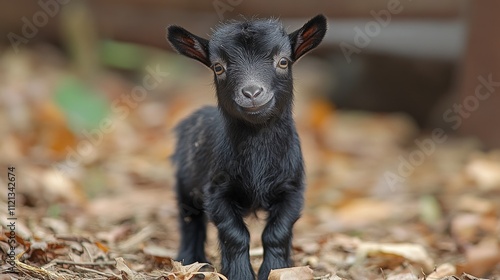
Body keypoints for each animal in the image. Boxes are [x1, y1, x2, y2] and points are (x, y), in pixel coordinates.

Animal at [166, 15, 326, 280]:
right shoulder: (216, 191)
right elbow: (235, 235)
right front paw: (240, 274)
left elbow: (276, 233)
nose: (252, 92)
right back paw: (191, 260)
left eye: (283, 61)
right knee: (190, 220)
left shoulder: (292, 189)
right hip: (185, 183)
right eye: (218, 67)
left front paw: (276, 270)